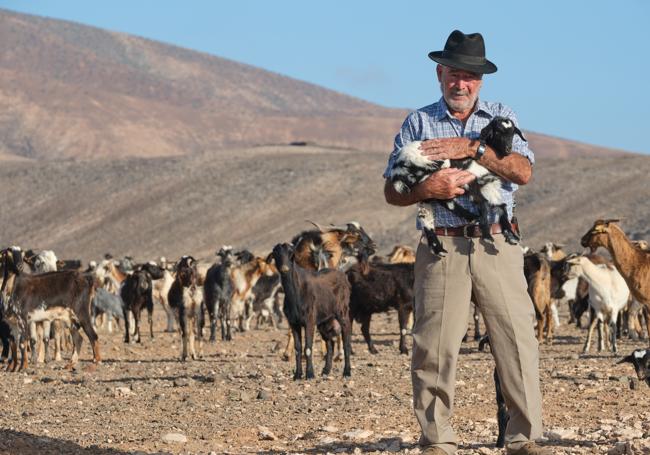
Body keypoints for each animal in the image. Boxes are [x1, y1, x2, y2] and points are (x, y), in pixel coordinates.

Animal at [390, 116, 520, 256]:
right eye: (497, 132)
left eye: (512, 134)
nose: (508, 149)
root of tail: (397, 166)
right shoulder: (472, 181)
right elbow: (484, 204)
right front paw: (487, 236)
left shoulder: (488, 187)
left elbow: (501, 206)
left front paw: (511, 236)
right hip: (431, 167)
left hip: (424, 189)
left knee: (429, 213)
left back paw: (440, 248)